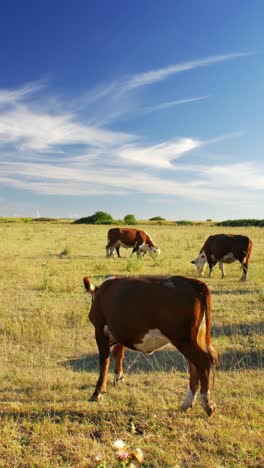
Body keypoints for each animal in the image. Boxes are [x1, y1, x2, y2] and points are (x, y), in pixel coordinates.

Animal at [83, 274, 218, 416]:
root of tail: (193, 282)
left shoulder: (100, 330)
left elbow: (104, 361)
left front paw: (98, 392)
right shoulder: (119, 333)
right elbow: (118, 354)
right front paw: (118, 378)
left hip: (184, 340)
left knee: (202, 362)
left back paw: (207, 404)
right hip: (196, 338)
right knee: (194, 366)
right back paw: (186, 404)